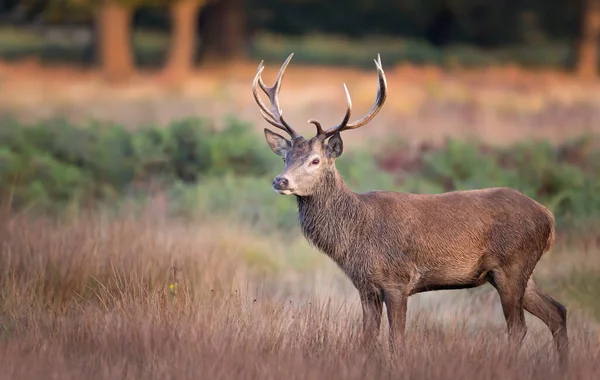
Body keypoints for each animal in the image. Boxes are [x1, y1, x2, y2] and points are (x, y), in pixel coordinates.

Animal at [251, 52, 568, 366]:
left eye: (315, 160)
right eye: (285, 158)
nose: (280, 180)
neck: (354, 238)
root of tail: (549, 219)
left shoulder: (397, 280)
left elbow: (397, 340)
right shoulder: (366, 286)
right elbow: (367, 339)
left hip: (511, 264)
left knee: (518, 327)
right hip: (520, 271)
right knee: (558, 311)